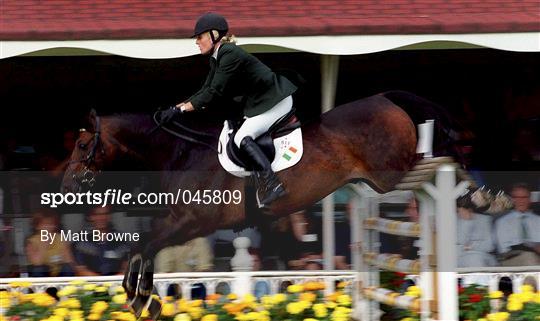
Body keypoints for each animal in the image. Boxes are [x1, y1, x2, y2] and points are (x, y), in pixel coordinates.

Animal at [62, 89, 460, 318]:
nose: (67, 184)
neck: (182, 152)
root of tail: (385, 99)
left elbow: (146, 245)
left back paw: (467, 187)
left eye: (82, 146)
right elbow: (143, 246)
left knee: (436, 167)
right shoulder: (180, 220)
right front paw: (141, 297)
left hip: (392, 173)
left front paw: (143, 298)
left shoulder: (192, 222)